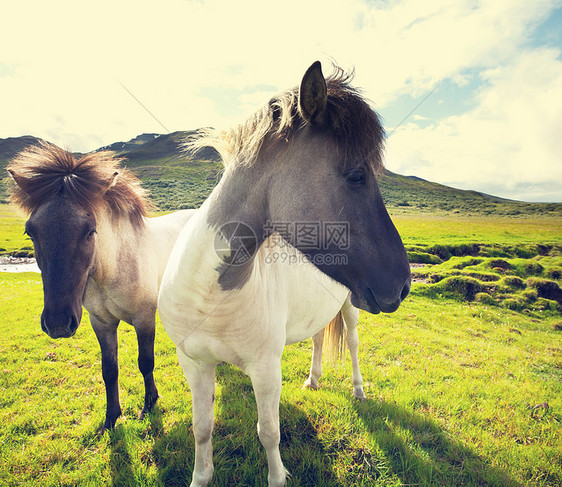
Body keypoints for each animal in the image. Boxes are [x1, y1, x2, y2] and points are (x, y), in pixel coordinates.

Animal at [5, 143, 195, 432]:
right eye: (31, 232)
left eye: (89, 231)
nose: (58, 323)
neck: (112, 270)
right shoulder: (101, 323)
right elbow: (109, 369)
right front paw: (111, 418)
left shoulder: (144, 318)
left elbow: (145, 362)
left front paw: (150, 403)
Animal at [155, 62, 410, 487]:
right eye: (357, 175)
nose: (404, 283)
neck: (211, 295)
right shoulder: (194, 364)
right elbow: (202, 428)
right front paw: (200, 476)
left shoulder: (265, 370)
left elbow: (269, 432)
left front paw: (277, 476)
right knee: (318, 340)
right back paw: (313, 379)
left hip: (351, 310)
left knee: (353, 344)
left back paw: (358, 390)